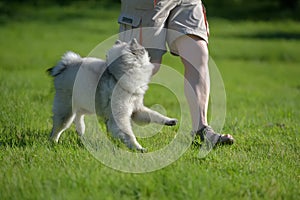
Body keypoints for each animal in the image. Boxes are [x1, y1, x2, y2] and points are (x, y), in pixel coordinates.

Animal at [48, 39, 177, 152]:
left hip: (86, 104)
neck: (118, 76)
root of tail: (65, 65)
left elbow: (154, 114)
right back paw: (54, 142)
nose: (147, 50)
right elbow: (129, 134)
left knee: (79, 115)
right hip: (66, 111)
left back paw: (81, 130)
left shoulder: (137, 109)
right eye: (142, 49)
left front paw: (169, 120)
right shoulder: (121, 115)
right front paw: (138, 148)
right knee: (58, 127)